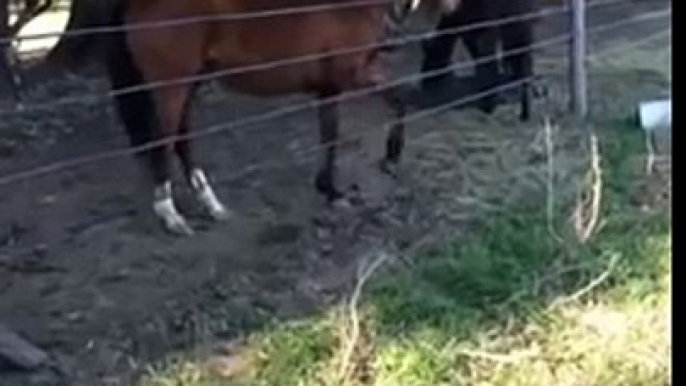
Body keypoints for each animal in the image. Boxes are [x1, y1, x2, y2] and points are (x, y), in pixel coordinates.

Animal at [106, 0, 462, 235]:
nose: (453, 6)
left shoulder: (330, 89)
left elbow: (330, 136)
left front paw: (331, 191)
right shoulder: (353, 77)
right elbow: (399, 98)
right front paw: (389, 158)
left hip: (189, 85)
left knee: (182, 140)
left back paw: (212, 206)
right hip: (172, 88)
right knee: (162, 142)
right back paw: (171, 215)